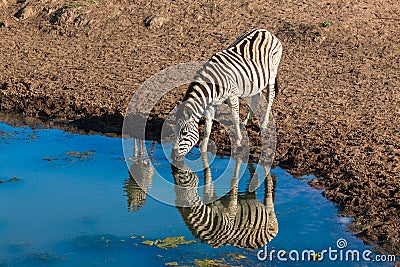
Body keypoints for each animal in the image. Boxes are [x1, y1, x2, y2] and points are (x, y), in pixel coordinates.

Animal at [171, 29, 282, 163]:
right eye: (174, 131)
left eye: (184, 133)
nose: (173, 157)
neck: (213, 85)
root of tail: (265, 31)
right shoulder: (211, 105)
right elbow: (208, 127)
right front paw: (203, 150)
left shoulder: (232, 95)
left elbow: (235, 118)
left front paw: (238, 142)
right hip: (257, 78)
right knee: (257, 95)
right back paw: (247, 121)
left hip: (272, 73)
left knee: (270, 96)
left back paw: (264, 124)